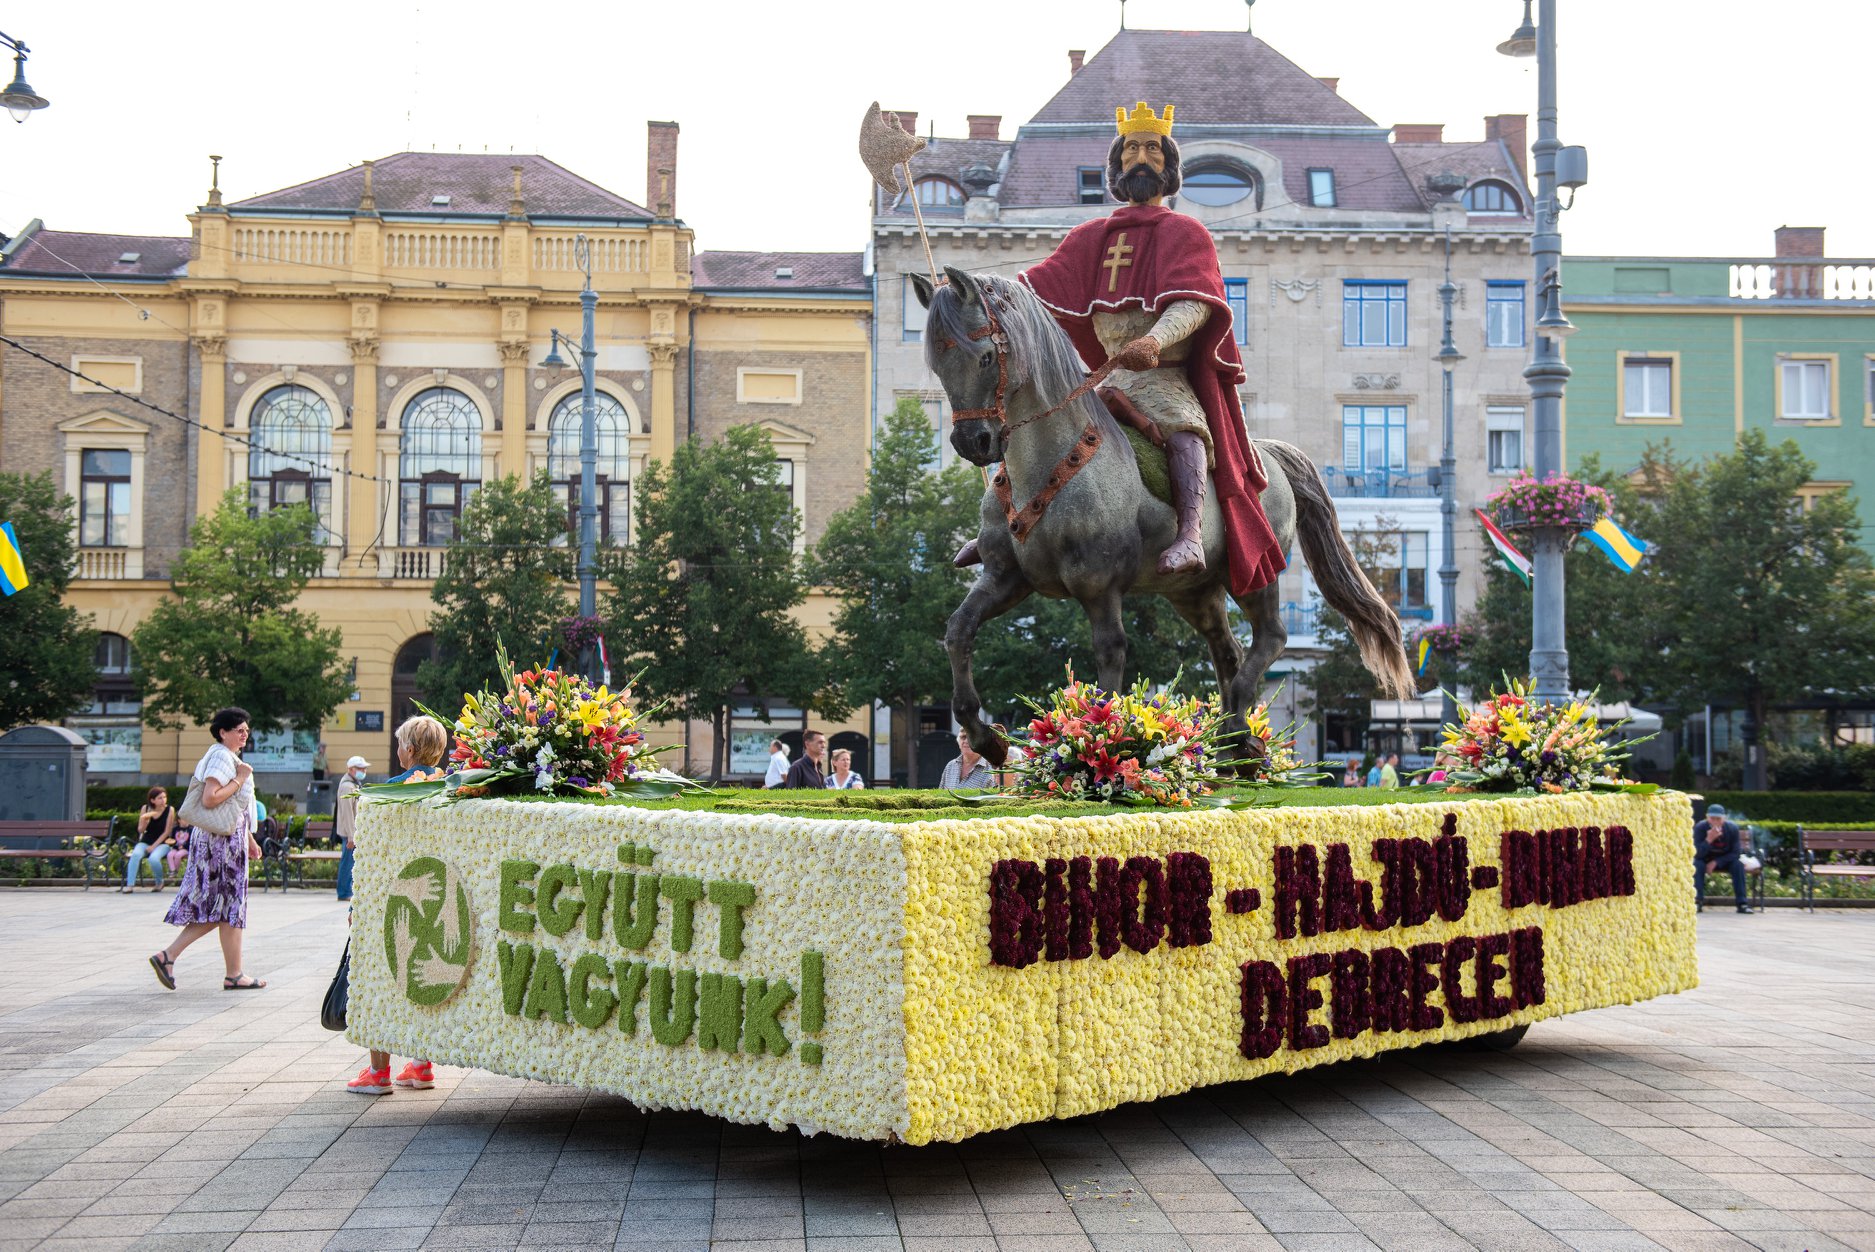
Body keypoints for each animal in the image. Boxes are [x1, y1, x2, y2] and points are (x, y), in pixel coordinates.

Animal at [915, 266, 1410, 764]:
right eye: (938, 365)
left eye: (984, 359)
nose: (972, 442)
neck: (1049, 465)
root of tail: (1266, 453)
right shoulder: (1006, 577)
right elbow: (958, 630)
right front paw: (985, 736)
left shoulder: (1100, 586)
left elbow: (1110, 651)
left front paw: (1100, 743)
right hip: (1195, 590)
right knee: (1227, 650)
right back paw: (1229, 745)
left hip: (1255, 571)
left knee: (1270, 636)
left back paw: (1239, 731)